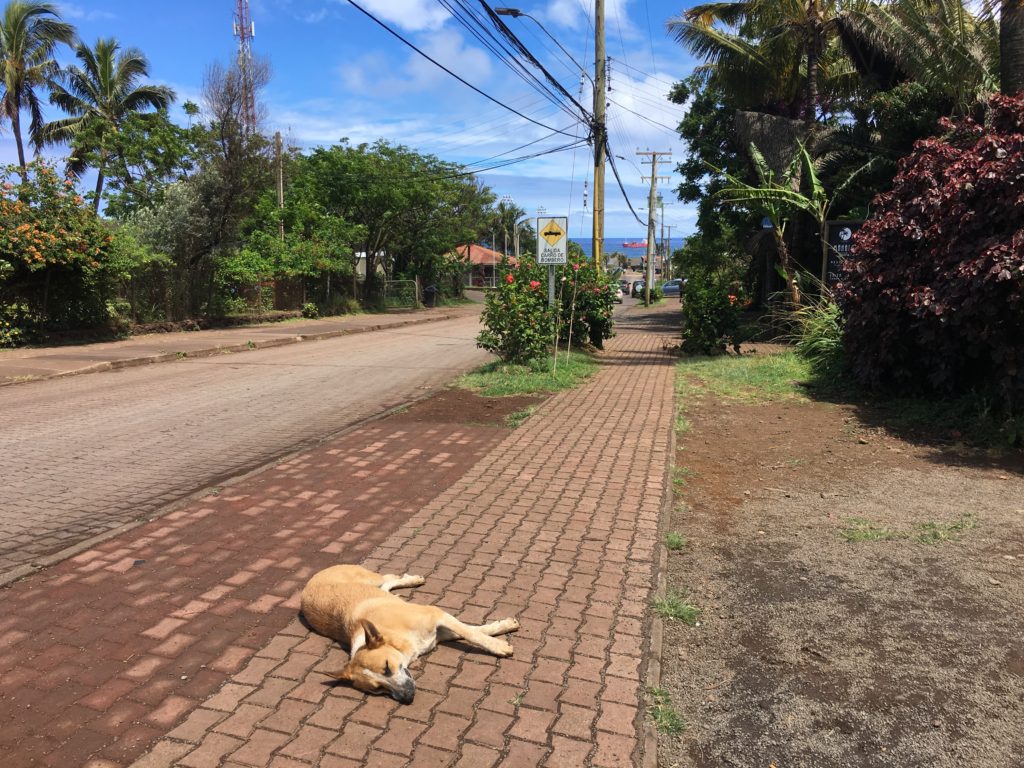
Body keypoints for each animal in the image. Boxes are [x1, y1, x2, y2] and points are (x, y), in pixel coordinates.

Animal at [299, 565, 520, 704]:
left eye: (387, 667)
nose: (407, 697)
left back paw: (411, 579)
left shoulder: (436, 615)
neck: (398, 638)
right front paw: (500, 630)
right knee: (386, 586)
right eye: (377, 689)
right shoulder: (439, 633)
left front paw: (498, 642)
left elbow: (471, 632)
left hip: (369, 578)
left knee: (387, 578)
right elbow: (472, 630)